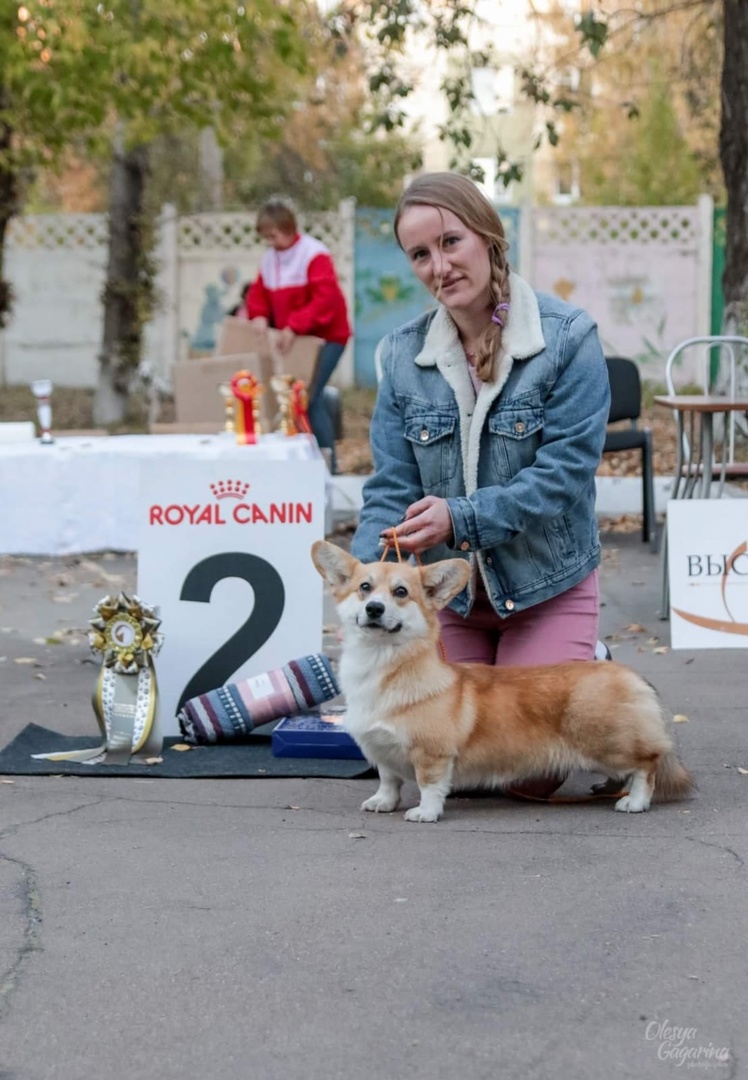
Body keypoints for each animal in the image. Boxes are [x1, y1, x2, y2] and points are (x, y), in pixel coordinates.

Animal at [310, 540, 695, 825]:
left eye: (401, 592)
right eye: (364, 588)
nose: (374, 609)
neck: (381, 664)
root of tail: (632, 675)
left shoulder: (432, 754)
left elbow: (429, 785)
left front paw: (426, 812)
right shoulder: (383, 751)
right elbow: (389, 780)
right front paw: (382, 802)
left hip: (608, 744)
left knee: (646, 765)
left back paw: (634, 801)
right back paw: (610, 787)